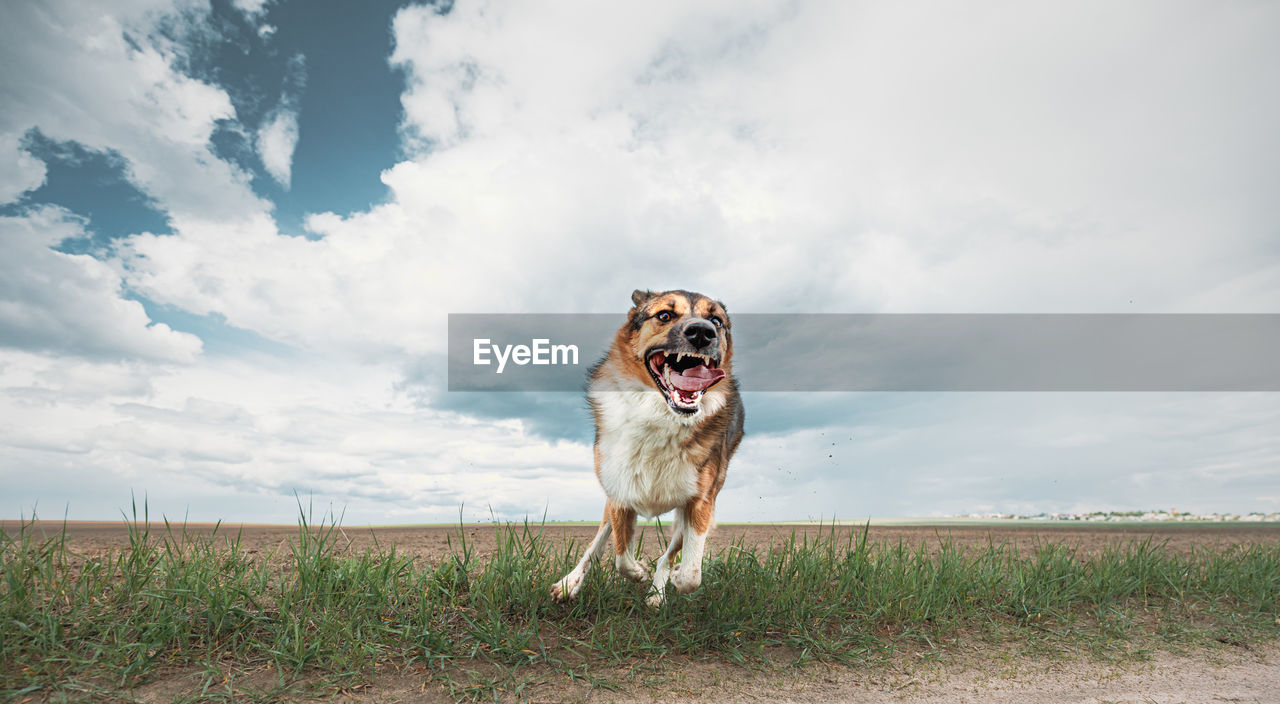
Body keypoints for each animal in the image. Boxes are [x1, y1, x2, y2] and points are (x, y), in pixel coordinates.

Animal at [547, 289, 747, 609]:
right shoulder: (620, 493)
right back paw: (570, 583)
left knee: (674, 553)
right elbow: (620, 554)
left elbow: (690, 573)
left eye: (716, 321)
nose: (703, 332)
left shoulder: (699, 502)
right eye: (665, 315)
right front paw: (639, 570)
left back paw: (657, 591)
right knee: (600, 539)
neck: (661, 416)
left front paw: (665, 581)